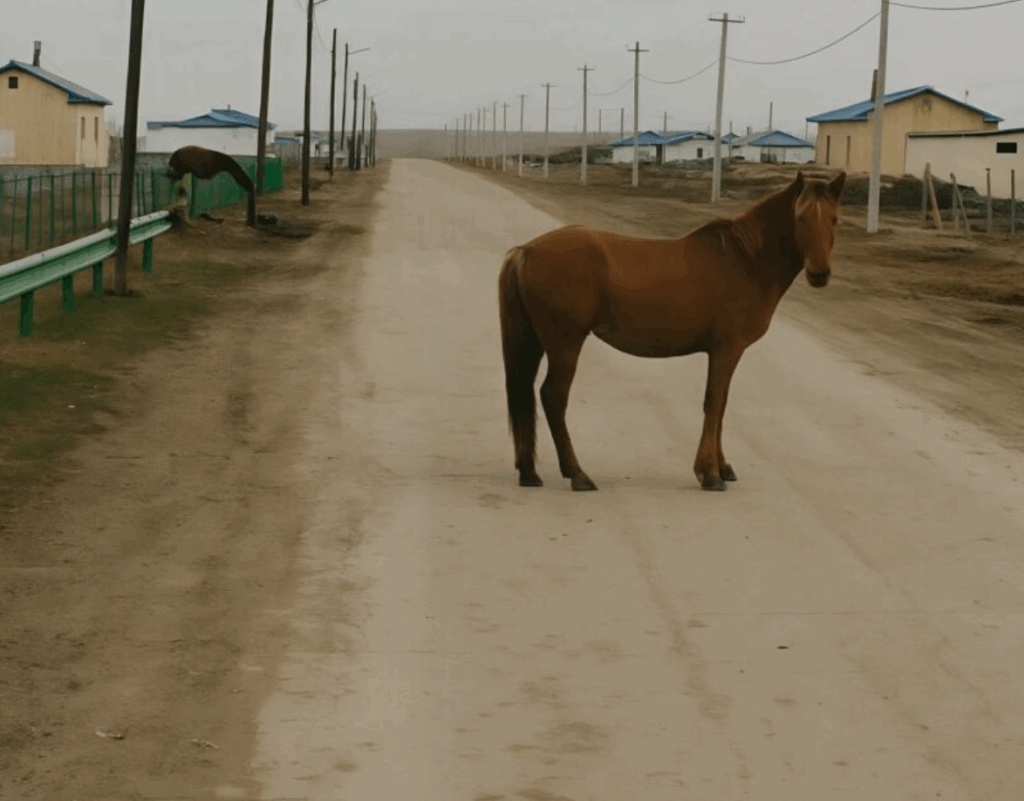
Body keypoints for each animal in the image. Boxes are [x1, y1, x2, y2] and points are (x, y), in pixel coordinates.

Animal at [498, 169, 846, 492]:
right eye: (800, 217)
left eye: (835, 219)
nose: (819, 274)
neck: (746, 260)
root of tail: (525, 251)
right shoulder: (726, 350)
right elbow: (713, 404)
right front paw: (709, 474)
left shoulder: (727, 354)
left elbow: (722, 406)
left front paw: (722, 467)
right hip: (565, 345)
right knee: (553, 398)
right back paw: (578, 475)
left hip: (535, 342)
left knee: (526, 393)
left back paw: (529, 472)